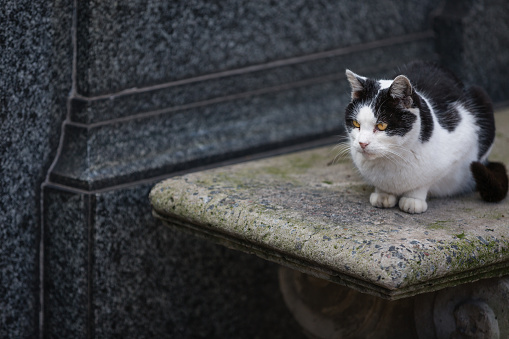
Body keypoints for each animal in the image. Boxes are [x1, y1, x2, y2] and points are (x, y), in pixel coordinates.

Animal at [344, 61, 506, 214]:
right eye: (356, 123)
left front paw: (413, 200)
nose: (362, 143)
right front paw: (383, 194)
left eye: (382, 125)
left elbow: (424, 181)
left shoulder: (463, 139)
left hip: (482, 97)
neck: (392, 158)